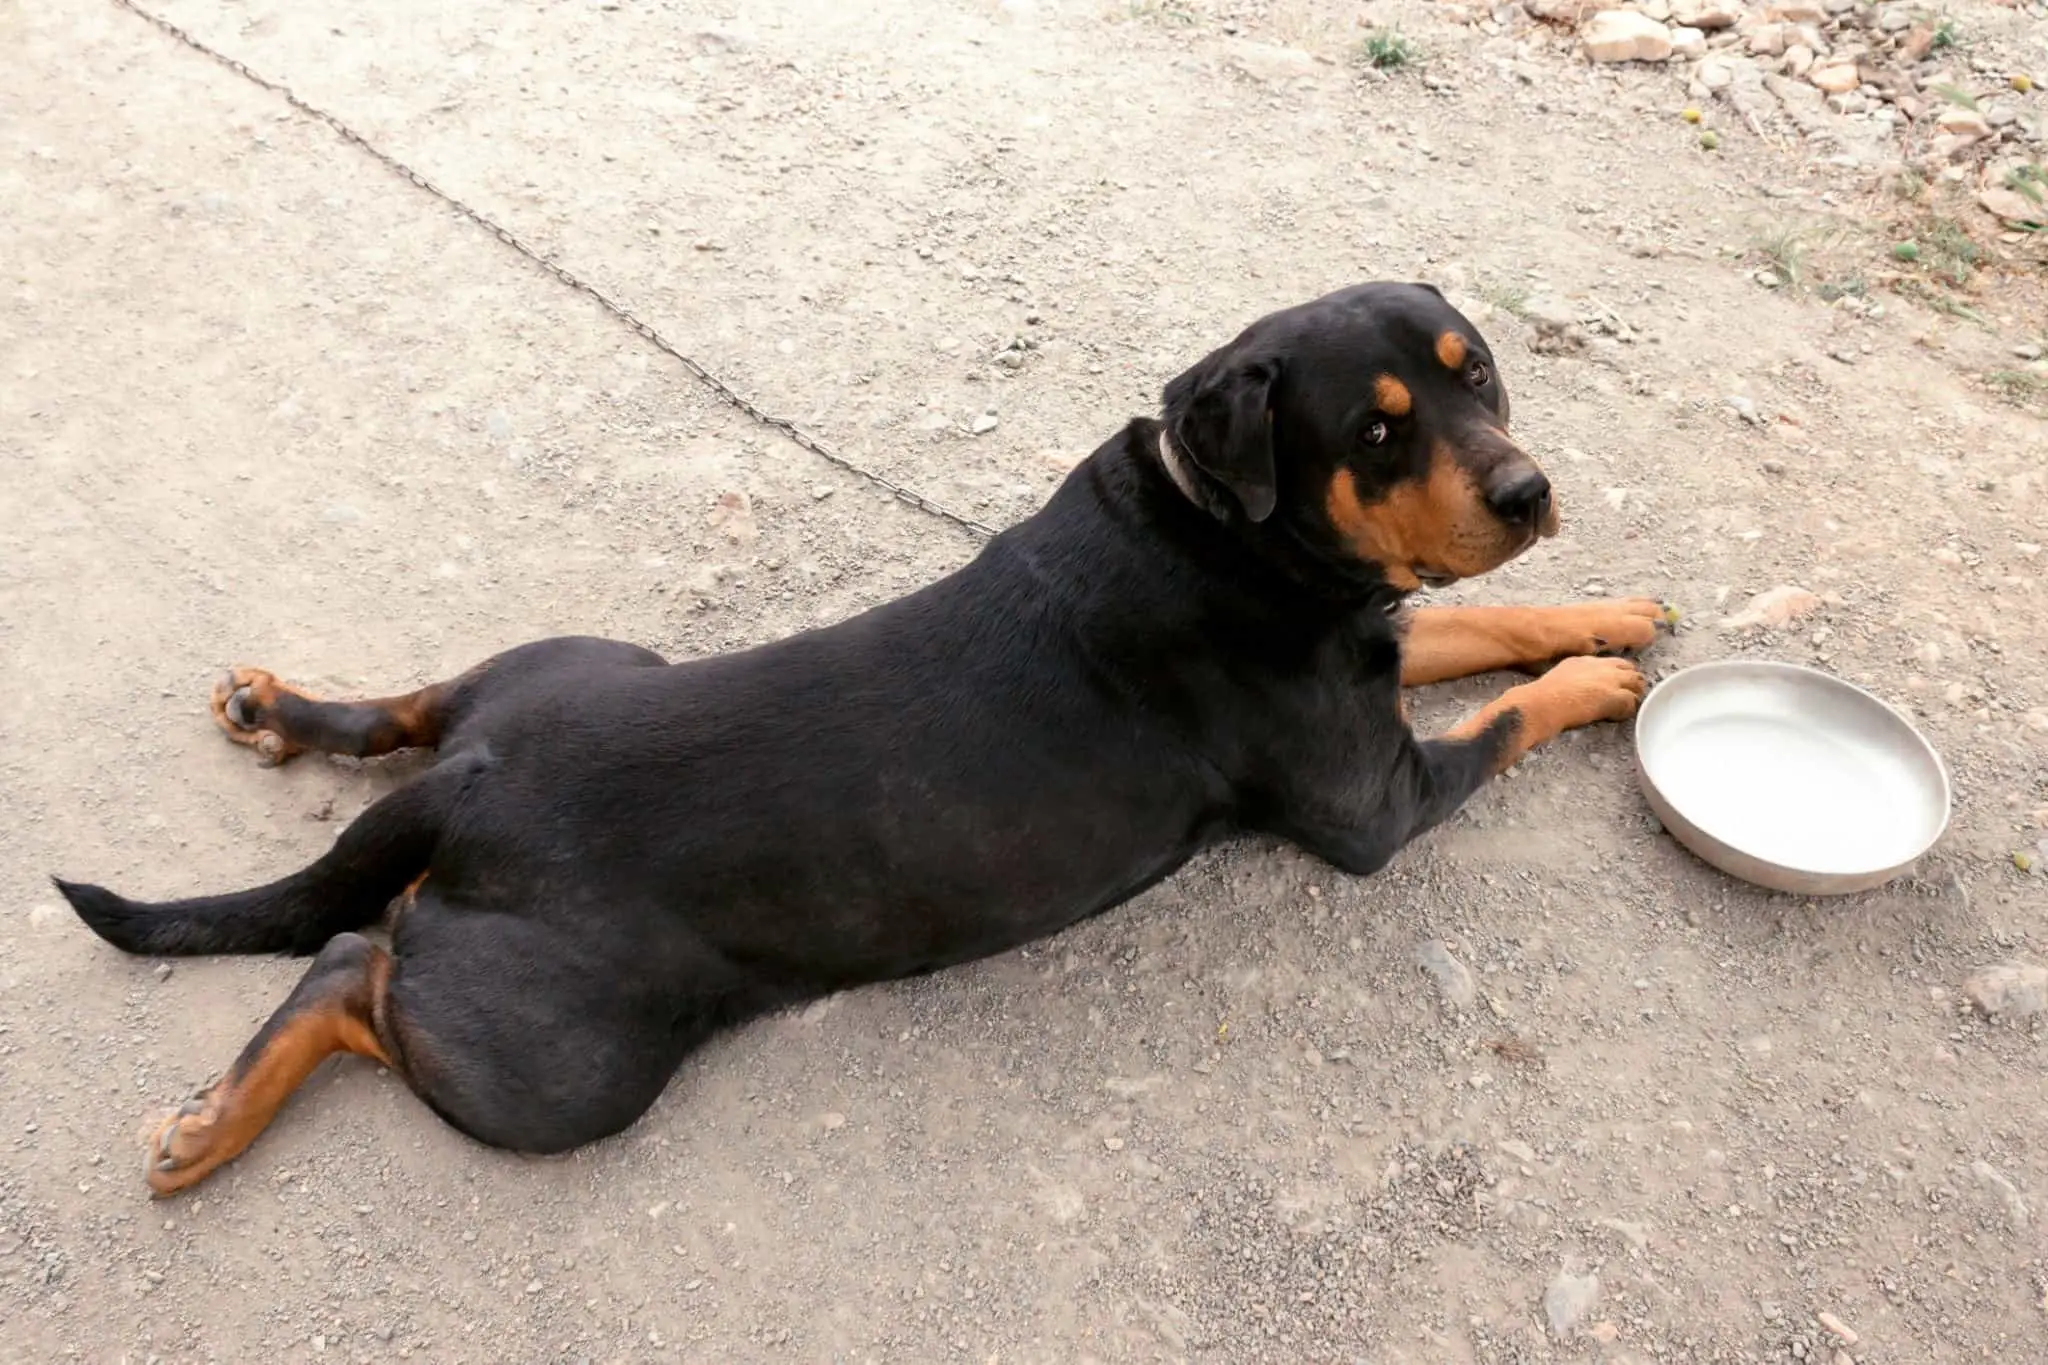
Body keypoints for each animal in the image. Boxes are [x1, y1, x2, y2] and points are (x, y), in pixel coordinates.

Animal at [56, 280, 1662, 1195]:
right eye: (1379, 432)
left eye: (1476, 372)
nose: (1525, 491)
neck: (1237, 534)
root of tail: (468, 797)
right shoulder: (1374, 797)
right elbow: (1507, 707)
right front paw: (1608, 680)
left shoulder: (1374, 646)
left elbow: (1483, 629)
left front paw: (1615, 607)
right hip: (560, 1065)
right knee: (349, 966)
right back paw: (209, 1130)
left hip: (557, 675)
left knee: (405, 734)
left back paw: (276, 708)